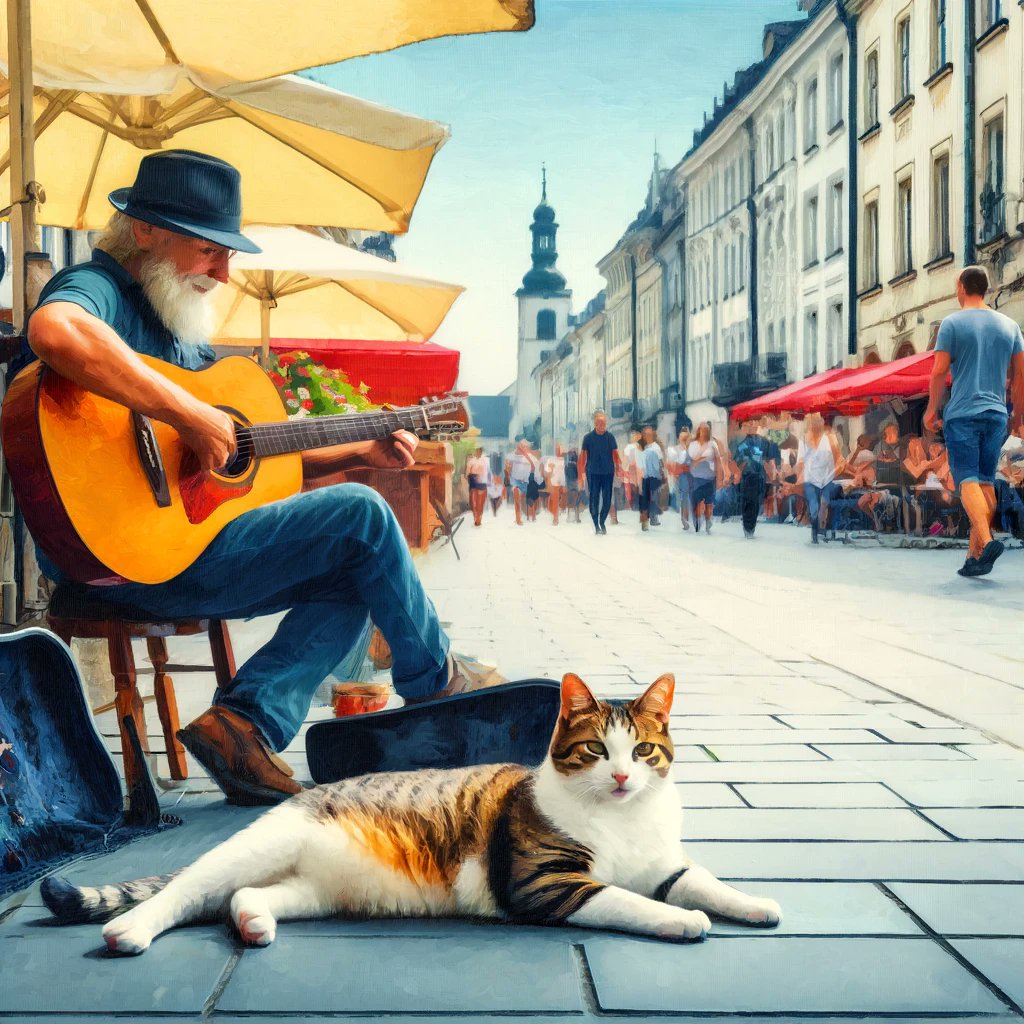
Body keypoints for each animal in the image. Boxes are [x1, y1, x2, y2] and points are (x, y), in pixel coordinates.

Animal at [37, 671, 774, 950]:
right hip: (253, 848)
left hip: (316, 891)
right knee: (183, 893)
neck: (621, 820)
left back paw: (252, 923)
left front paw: (755, 905)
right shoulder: (547, 884)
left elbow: (701, 881)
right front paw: (684, 922)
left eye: (643, 750)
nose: (622, 776)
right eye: (595, 749)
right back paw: (130, 930)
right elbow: (630, 901)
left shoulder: (665, 864)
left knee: (246, 897)